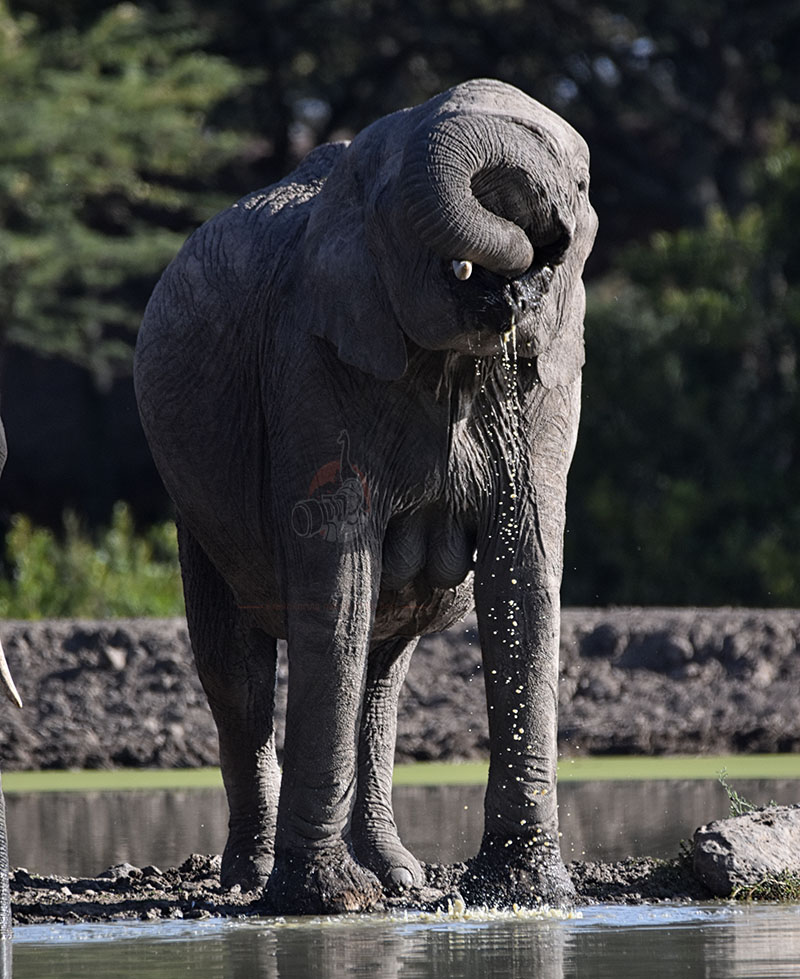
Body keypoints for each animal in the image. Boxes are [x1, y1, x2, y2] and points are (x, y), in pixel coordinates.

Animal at [136, 80, 592, 916]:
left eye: (579, 185)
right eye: (391, 207)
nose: (524, 255)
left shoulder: (551, 370)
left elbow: (524, 580)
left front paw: (526, 892)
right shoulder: (308, 358)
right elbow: (336, 587)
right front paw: (324, 900)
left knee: (383, 679)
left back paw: (398, 874)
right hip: (193, 493)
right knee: (238, 672)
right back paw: (253, 877)